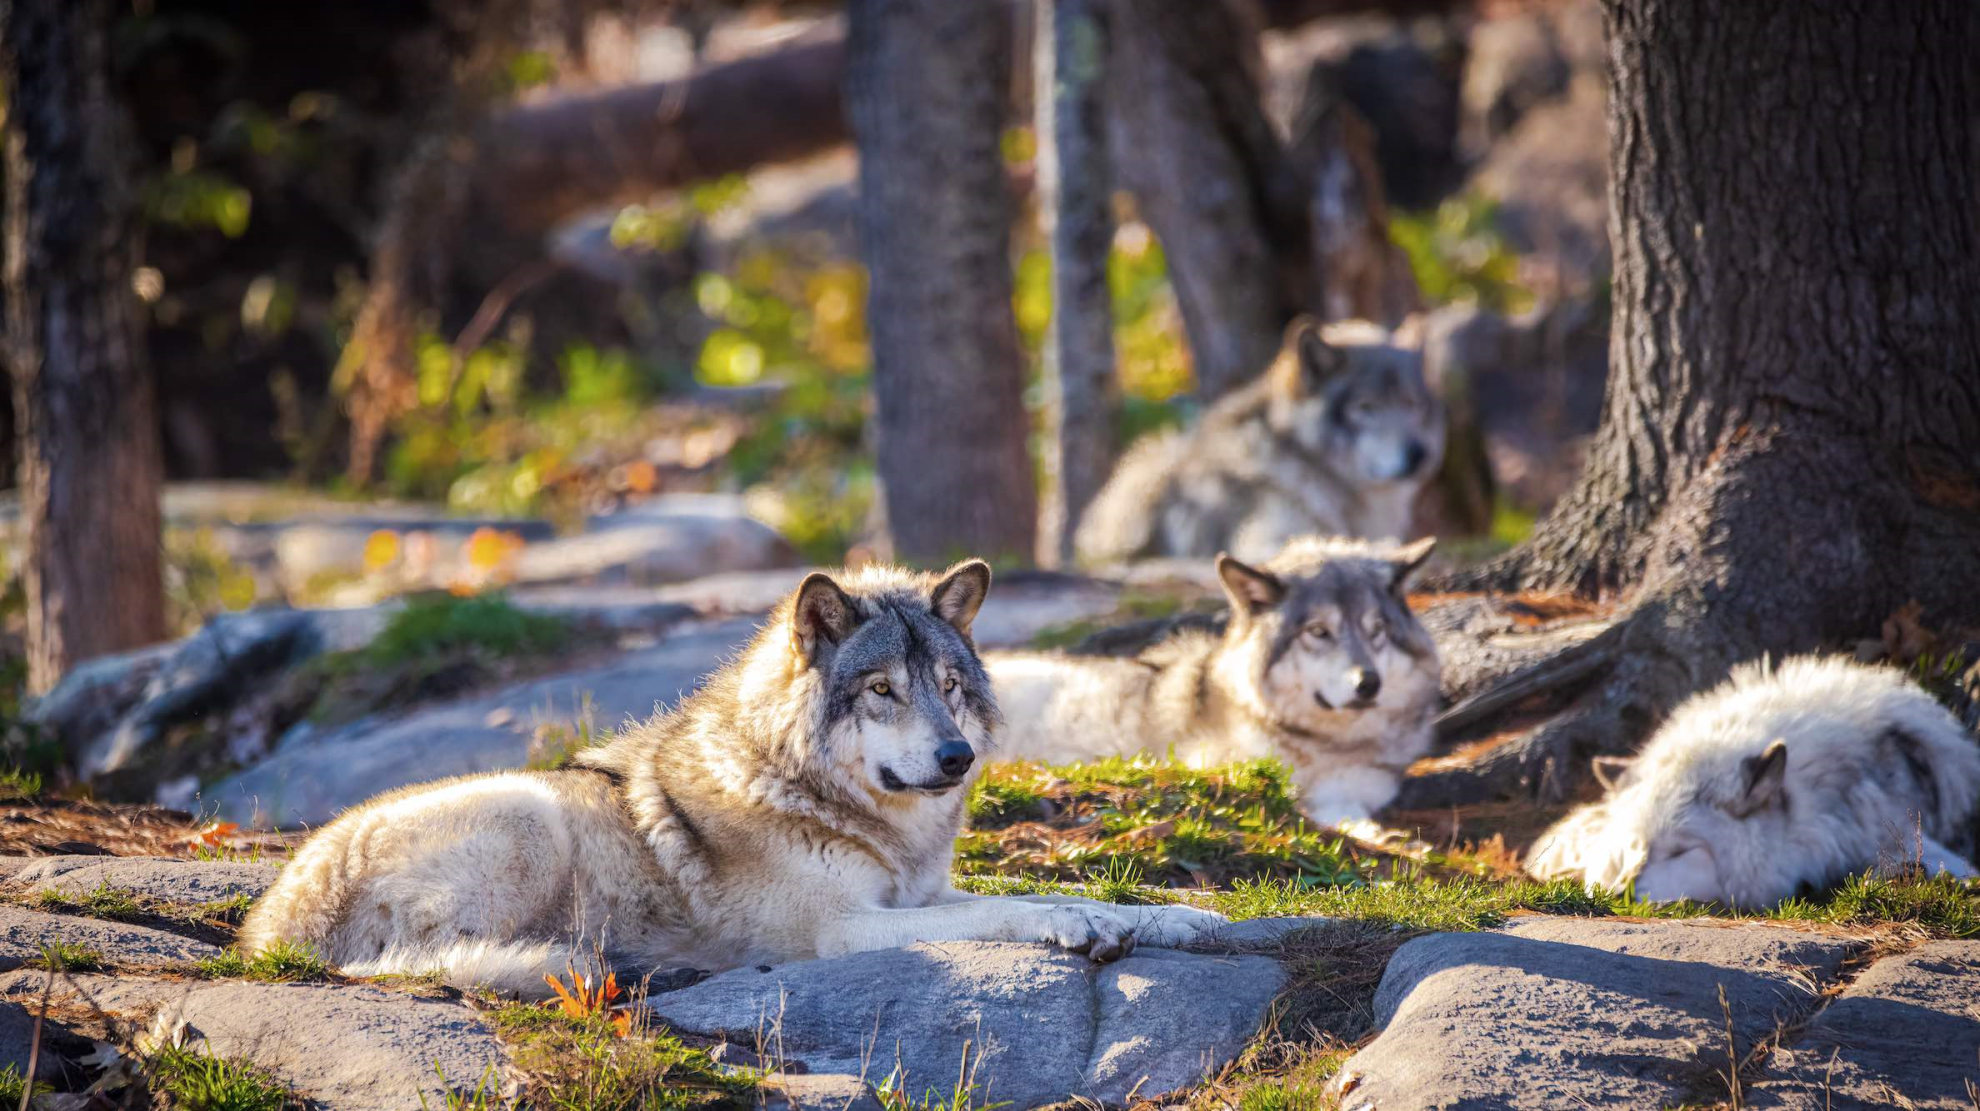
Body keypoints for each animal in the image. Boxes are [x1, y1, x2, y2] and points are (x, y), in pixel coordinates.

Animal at [231, 562, 1219, 998]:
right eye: (882, 690)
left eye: (948, 685)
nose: (956, 759)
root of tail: (267, 934)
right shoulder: (845, 926)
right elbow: (1013, 908)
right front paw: (1077, 927)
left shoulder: (916, 893)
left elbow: (1062, 889)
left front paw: (1181, 917)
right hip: (527, 811)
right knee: (448, 959)